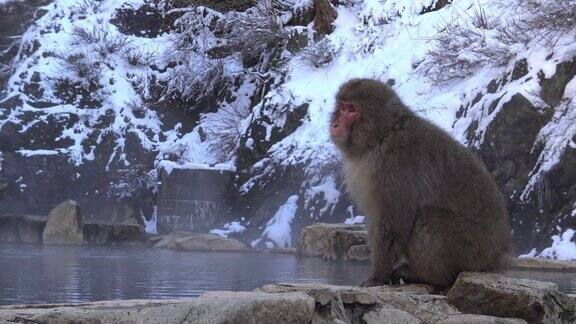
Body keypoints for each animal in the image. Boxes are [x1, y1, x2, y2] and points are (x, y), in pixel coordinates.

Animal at [332, 78, 512, 286]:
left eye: (352, 110)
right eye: (342, 107)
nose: (335, 124)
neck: (381, 138)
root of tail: (497, 255)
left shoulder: (396, 167)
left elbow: (393, 222)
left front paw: (378, 275)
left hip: (470, 250)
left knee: (430, 217)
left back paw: (425, 275)